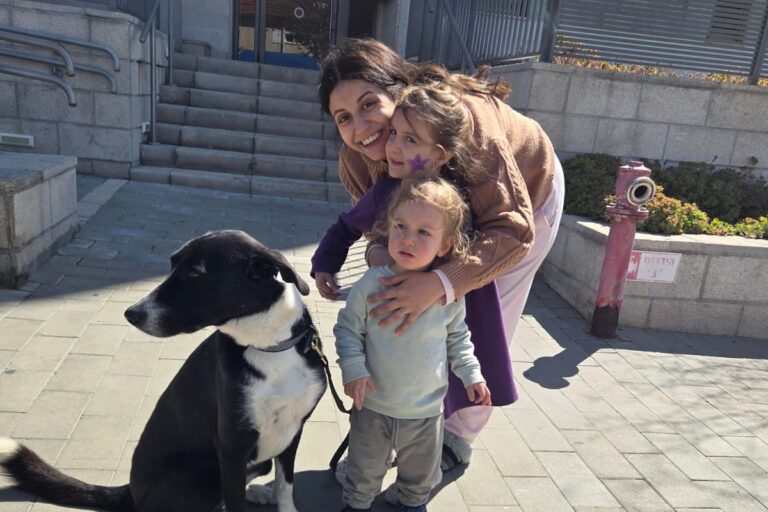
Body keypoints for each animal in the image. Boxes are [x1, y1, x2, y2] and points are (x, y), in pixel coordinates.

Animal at [0, 230, 327, 512]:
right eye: (172, 265)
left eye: (195, 273)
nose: (131, 314)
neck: (268, 346)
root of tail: (132, 492)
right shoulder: (231, 444)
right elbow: (237, 501)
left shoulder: (293, 430)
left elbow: (285, 487)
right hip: (202, 472)